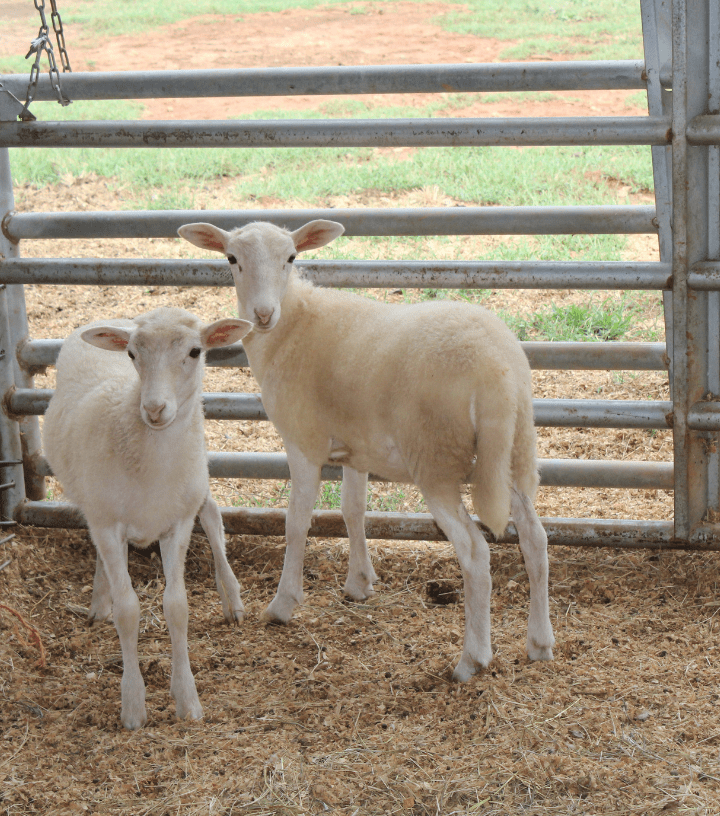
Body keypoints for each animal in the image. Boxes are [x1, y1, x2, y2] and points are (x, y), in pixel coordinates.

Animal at [43, 310, 253, 728]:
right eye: (131, 354)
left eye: (195, 351)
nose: (154, 409)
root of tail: (110, 317)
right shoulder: (108, 523)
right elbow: (128, 610)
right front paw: (133, 706)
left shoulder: (178, 524)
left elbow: (177, 607)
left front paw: (187, 701)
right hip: (97, 501)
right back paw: (100, 599)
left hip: (197, 476)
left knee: (212, 514)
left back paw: (232, 597)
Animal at [180, 218, 556, 684]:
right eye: (232, 259)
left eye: (291, 258)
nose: (262, 314)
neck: (293, 324)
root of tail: (497, 371)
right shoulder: (355, 449)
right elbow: (352, 510)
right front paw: (359, 582)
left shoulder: (303, 442)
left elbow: (296, 522)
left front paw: (283, 604)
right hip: (514, 454)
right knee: (535, 540)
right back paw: (540, 643)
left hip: (436, 459)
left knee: (475, 552)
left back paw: (472, 659)